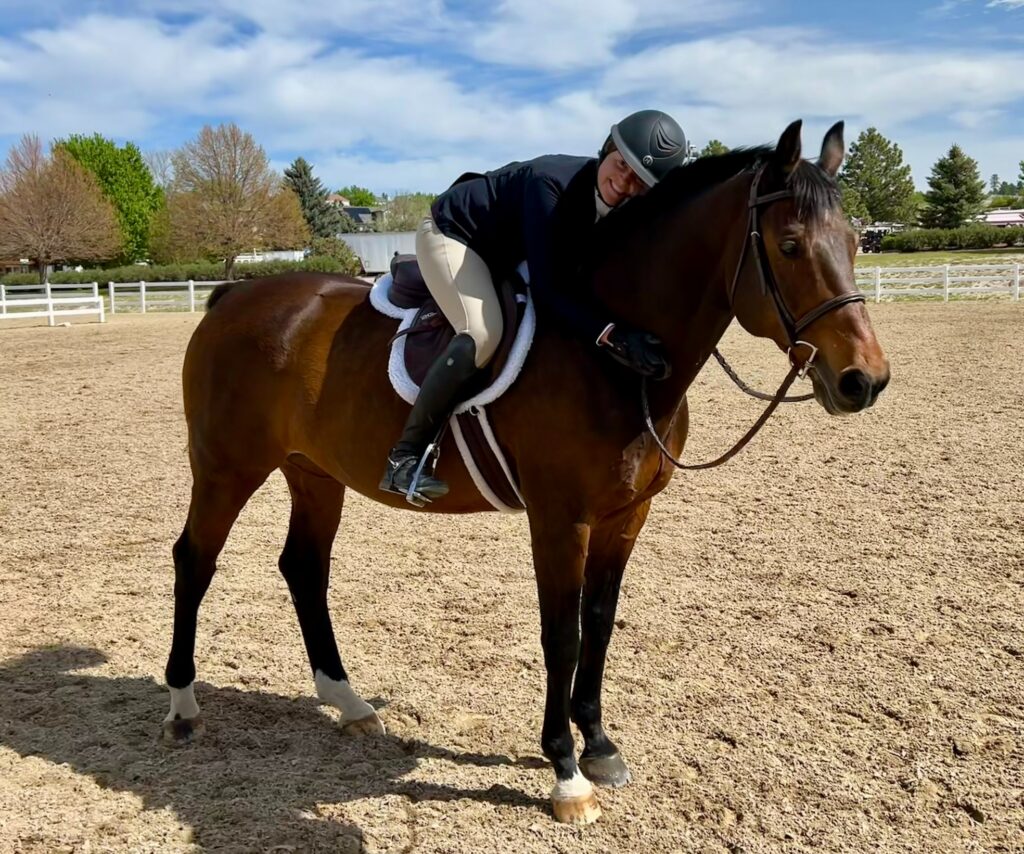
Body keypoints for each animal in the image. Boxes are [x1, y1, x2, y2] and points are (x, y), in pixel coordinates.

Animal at [163, 120, 890, 824]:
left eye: (856, 241)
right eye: (790, 245)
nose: (866, 381)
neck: (617, 362)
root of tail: (232, 296)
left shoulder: (626, 515)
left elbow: (599, 623)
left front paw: (599, 747)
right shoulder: (559, 519)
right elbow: (561, 635)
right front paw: (567, 773)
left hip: (314, 474)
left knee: (304, 568)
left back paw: (348, 702)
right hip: (227, 468)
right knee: (195, 559)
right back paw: (182, 705)